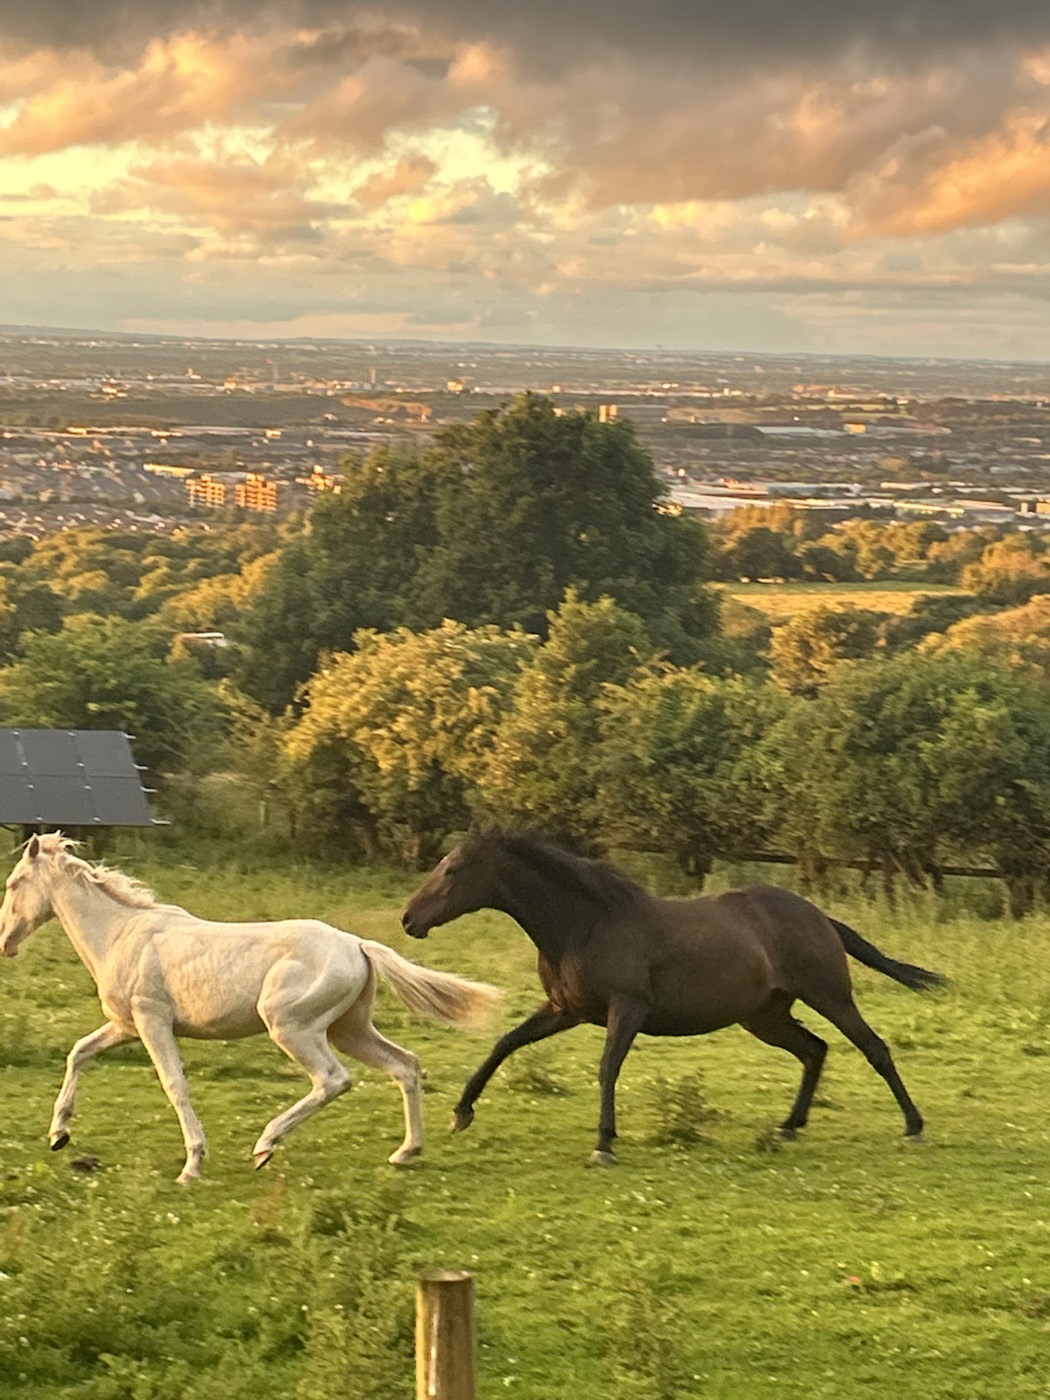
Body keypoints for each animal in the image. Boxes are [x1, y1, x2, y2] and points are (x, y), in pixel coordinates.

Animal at [0, 833, 500, 1183]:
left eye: (13, 883)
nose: (5, 942)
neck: (122, 934)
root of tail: (357, 944)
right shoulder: (124, 1025)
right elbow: (79, 1053)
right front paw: (58, 1134)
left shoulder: (151, 1020)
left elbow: (174, 1085)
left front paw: (192, 1165)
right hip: (349, 1029)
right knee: (406, 1066)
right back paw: (406, 1151)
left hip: (292, 1027)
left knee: (333, 1079)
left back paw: (266, 1144)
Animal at [401, 827, 945, 1165]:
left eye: (453, 869)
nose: (409, 919)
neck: (585, 925)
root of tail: (820, 917)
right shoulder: (565, 1010)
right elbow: (504, 1044)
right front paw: (462, 1113)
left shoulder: (627, 1008)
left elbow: (607, 1068)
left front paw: (604, 1144)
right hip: (764, 1017)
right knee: (815, 1050)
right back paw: (789, 1125)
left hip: (829, 995)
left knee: (873, 1048)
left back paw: (914, 1126)